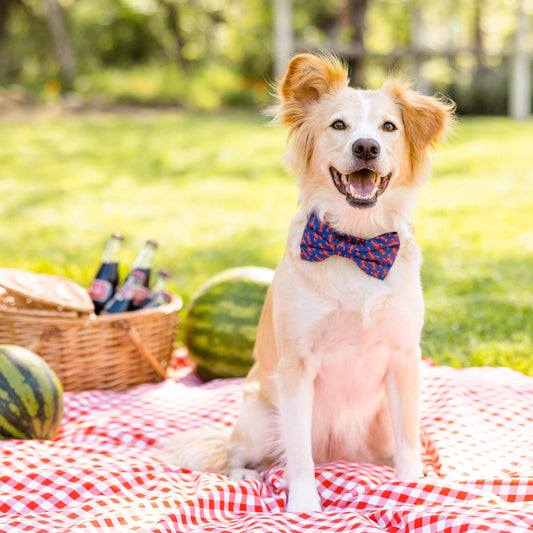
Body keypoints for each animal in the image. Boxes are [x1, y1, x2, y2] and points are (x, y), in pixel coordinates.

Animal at [163, 53, 454, 512]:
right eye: (338, 125)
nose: (366, 147)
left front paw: (413, 489)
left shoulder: (404, 357)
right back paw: (246, 474)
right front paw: (303, 507)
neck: (355, 245)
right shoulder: (296, 366)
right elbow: (299, 453)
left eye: (389, 127)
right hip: (260, 415)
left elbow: (409, 442)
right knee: (238, 455)